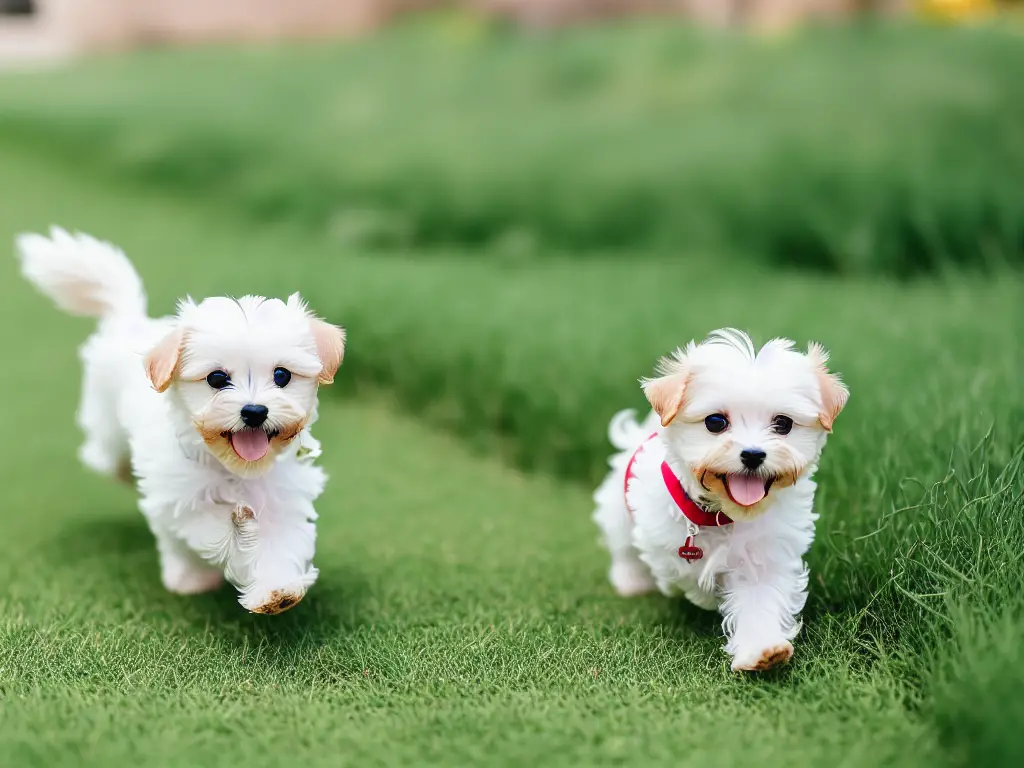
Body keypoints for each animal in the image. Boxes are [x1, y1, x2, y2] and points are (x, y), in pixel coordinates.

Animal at [18, 227, 346, 614]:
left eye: (282, 375)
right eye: (217, 378)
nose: (254, 411)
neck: (233, 469)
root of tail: (131, 321)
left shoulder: (284, 497)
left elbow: (281, 543)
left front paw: (275, 591)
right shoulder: (181, 500)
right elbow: (213, 530)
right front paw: (240, 537)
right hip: (106, 425)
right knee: (105, 457)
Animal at [593, 327, 847, 671]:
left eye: (783, 423)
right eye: (715, 421)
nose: (753, 454)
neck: (723, 513)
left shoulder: (768, 551)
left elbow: (759, 597)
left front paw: (761, 648)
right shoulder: (660, 535)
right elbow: (682, 570)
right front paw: (704, 590)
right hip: (618, 511)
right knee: (622, 548)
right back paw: (631, 580)